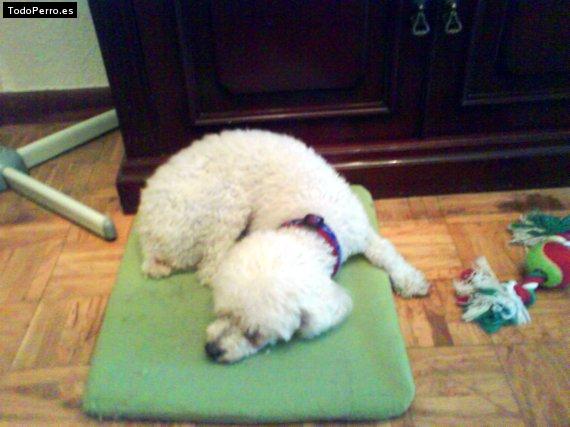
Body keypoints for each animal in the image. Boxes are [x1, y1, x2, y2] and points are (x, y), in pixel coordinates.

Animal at [138, 129, 429, 363]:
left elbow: (385, 253)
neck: (312, 224)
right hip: (225, 205)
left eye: (255, 334)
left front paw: (410, 280)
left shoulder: (360, 232)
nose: (211, 350)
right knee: (209, 266)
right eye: (222, 313)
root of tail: (148, 238)